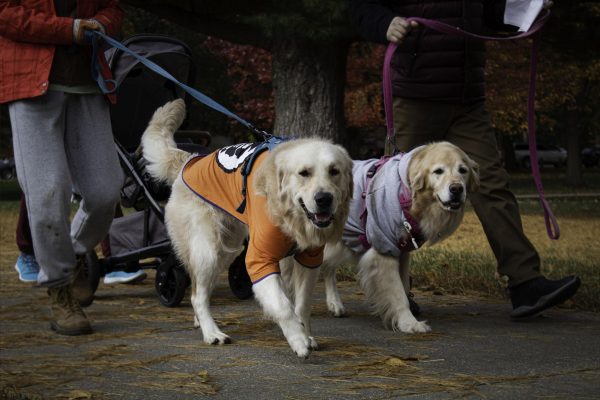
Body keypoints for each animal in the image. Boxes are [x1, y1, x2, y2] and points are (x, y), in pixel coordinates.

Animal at [141, 99, 353, 358]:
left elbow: (302, 305)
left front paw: (306, 334)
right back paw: (212, 333)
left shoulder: (309, 259)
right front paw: (298, 341)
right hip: (208, 251)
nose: (324, 199)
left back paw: (200, 322)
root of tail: (189, 161)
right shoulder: (259, 259)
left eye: (334, 171)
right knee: (197, 296)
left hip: (226, 249)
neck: (288, 216)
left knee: (199, 291)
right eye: (304, 173)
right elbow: (283, 305)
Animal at [320, 142, 479, 333]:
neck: (407, 192)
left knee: (327, 267)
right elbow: (397, 293)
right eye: (438, 171)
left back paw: (334, 304)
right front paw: (409, 323)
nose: (456, 189)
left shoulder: (402, 251)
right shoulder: (384, 250)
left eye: (463, 170)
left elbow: (403, 286)